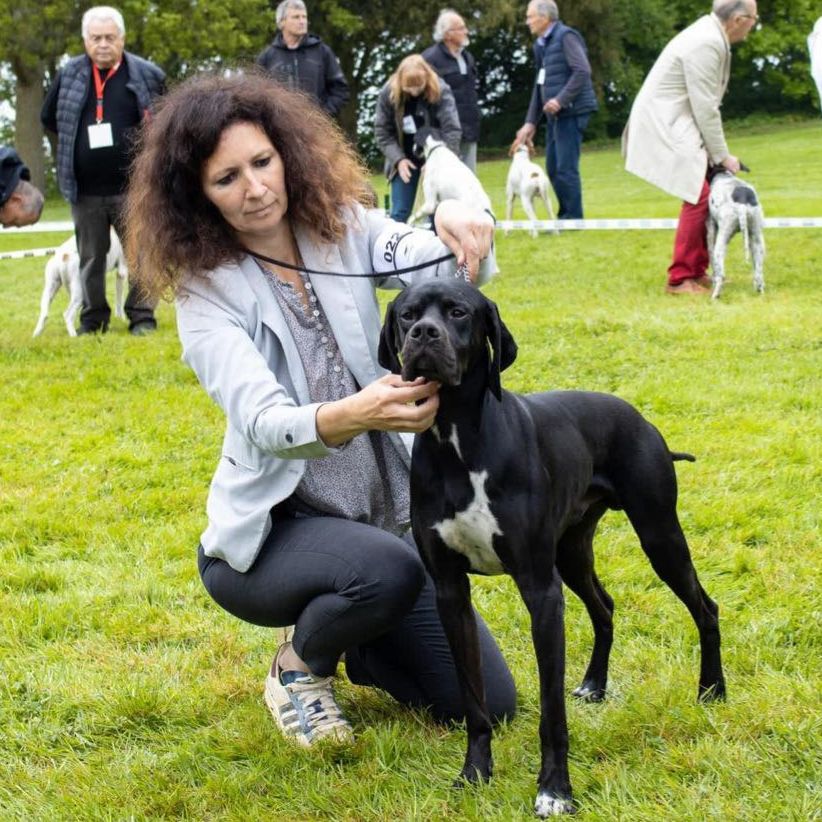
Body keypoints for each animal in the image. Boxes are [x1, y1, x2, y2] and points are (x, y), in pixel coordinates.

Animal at [380, 282, 728, 816]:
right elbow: (474, 699)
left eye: (458, 312)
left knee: (704, 607)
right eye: (406, 314)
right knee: (605, 607)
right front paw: (474, 773)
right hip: (571, 552)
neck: (458, 438)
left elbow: (551, 710)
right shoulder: (450, 593)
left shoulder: (540, 591)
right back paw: (595, 685)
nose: (423, 334)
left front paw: (555, 790)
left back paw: (711, 690)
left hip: (658, 535)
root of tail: (639, 418)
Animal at [708, 169, 768, 300]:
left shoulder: (711, 227)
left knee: (721, 275)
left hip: (721, 243)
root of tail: (742, 202)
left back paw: (715, 296)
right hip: (757, 241)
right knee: (759, 274)